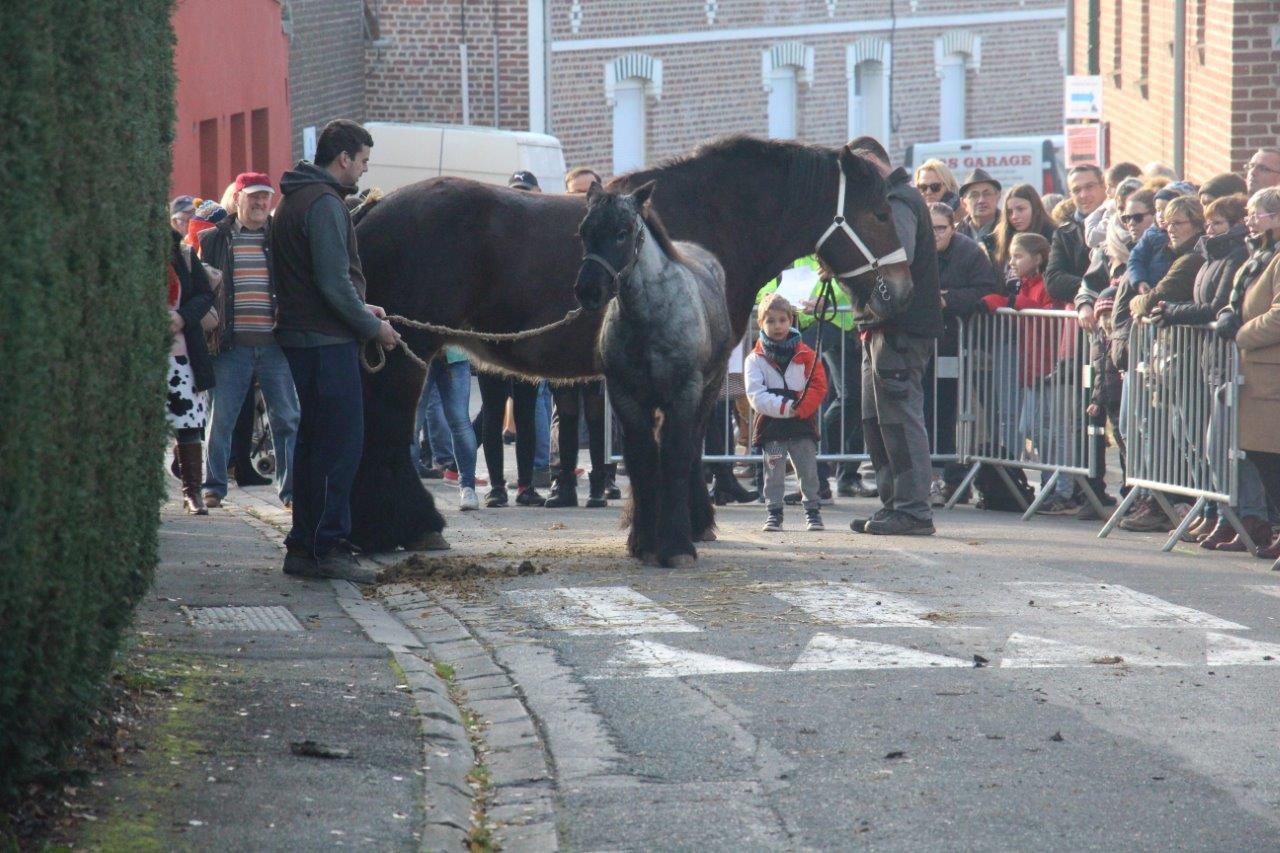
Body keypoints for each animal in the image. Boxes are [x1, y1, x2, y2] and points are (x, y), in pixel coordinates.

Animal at [350, 137, 911, 550]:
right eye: (881, 215)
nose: (899, 288)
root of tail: (369, 209)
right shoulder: (701, 376)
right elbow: (687, 446)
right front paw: (687, 523)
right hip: (410, 350)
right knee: (385, 431)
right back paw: (414, 525)